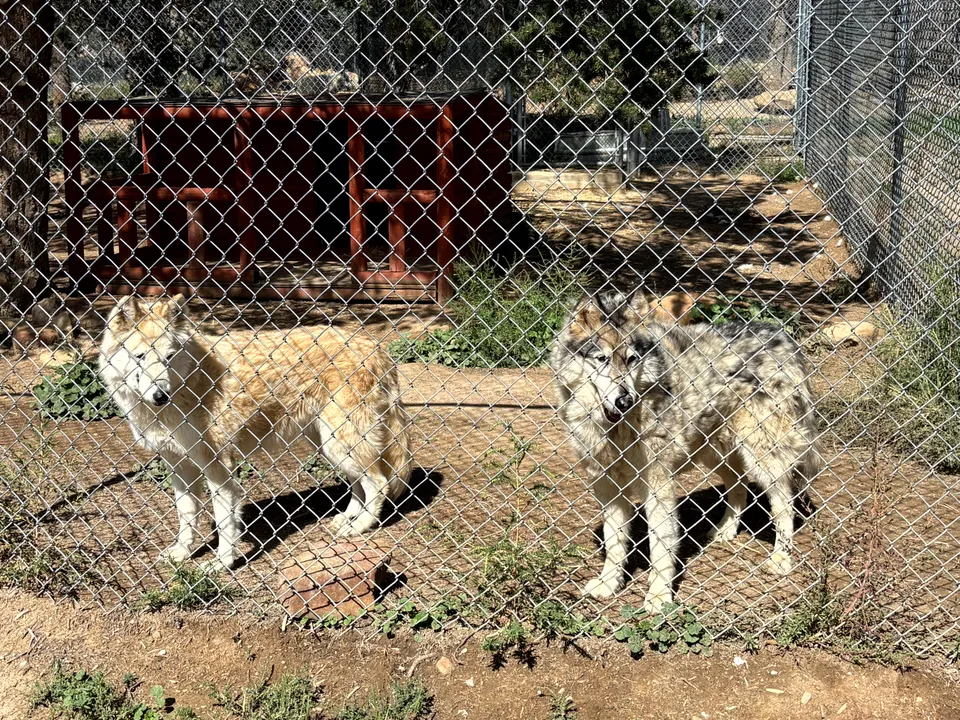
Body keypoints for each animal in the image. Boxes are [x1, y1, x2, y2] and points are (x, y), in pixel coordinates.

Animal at [99, 295, 411, 570]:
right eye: (140, 357)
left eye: (168, 357)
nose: (160, 395)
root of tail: (376, 347)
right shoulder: (180, 467)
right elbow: (186, 517)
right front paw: (181, 553)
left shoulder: (219, 469)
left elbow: (225, 524)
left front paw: (221, 565)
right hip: (329, 445)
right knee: (359, 485)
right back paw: (347, 519)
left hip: (341, 444)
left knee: (379, 483)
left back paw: (359, 527)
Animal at [550, 291, 820, 612]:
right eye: (602, 359)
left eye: (631, 359)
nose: (625, 400)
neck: (617, 430)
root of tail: (782, 335)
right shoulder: (607, 486)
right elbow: (614, 543)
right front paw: (608, 584)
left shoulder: (658, 485)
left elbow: (660, 547)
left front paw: (659, 595)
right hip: (715, 453)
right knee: (739, 485)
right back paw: (725, 530)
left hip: (761, 456)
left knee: (784, 504)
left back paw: (781, 558)